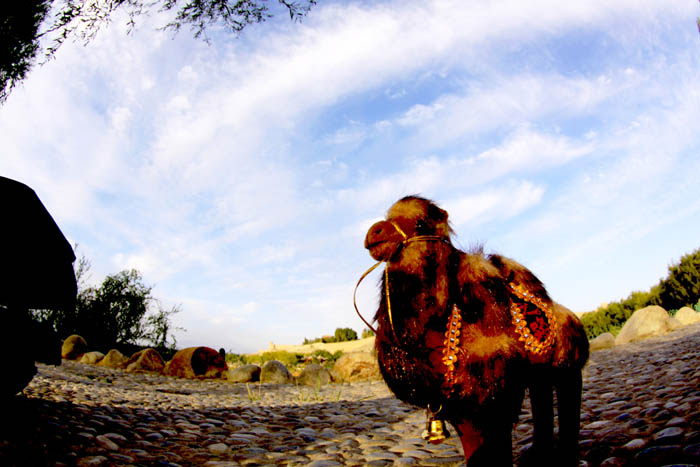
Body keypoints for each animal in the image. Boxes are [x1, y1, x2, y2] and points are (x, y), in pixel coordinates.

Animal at [358, 197, 588, 467]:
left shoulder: (494, 397)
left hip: (567, 367)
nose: (375, 232)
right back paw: (538, 454)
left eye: (420, 224)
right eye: (388, 218)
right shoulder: (460, 406)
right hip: (539, 374)